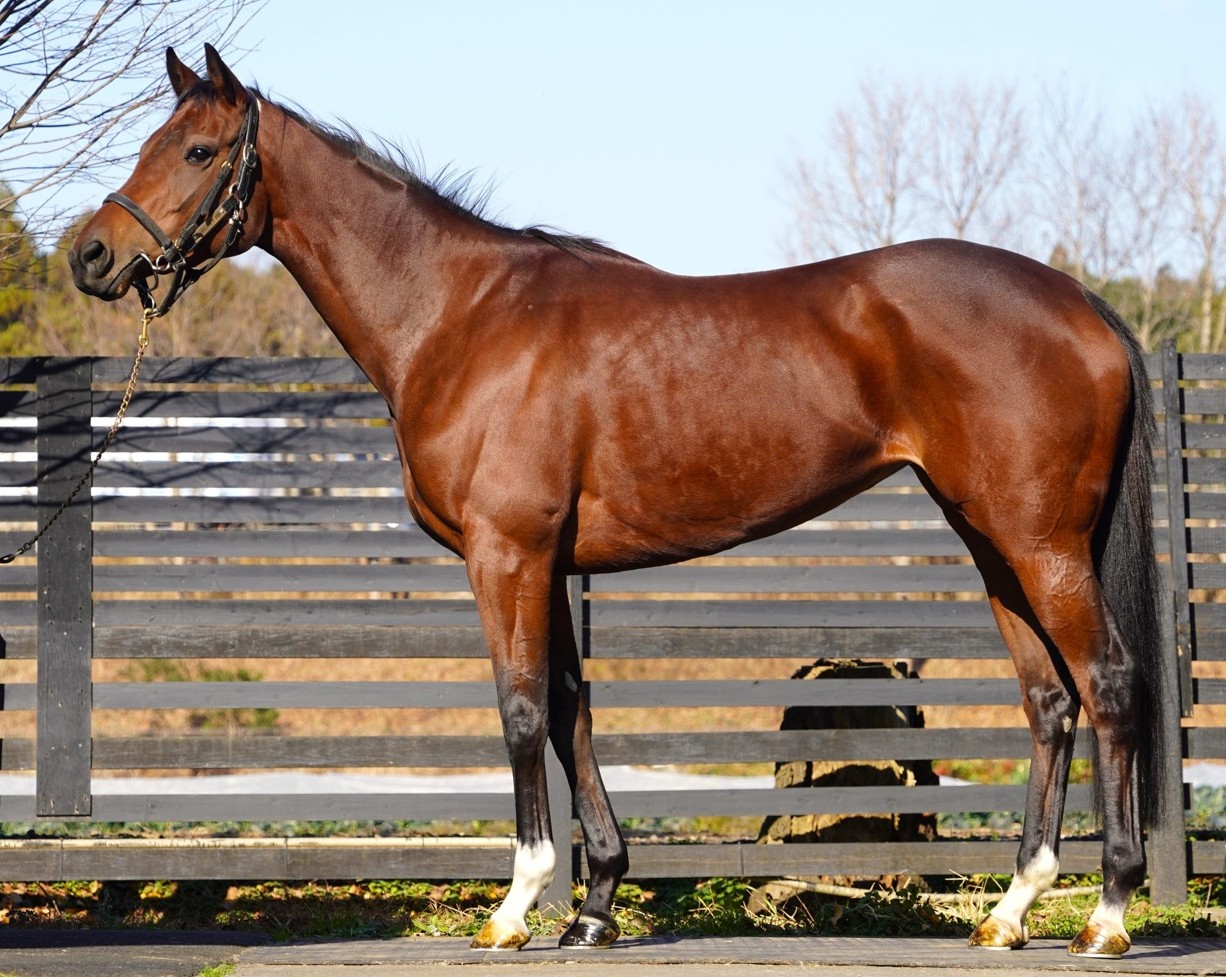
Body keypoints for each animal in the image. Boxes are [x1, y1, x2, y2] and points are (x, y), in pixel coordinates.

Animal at [69, 45, 1168, 958]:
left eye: (198, 149)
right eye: (147, 142)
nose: (90, 255)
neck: (460, 316)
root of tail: (1082, 305)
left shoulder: (506, 552)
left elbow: (520, 711)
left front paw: (517, 905)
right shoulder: (548, 561)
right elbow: (571, 710)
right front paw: (594, 904)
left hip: (1040, 544)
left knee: (1108, 684)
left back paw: (1109, 914)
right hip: (993, 543)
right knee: (1048, 701)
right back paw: (1011, 910)